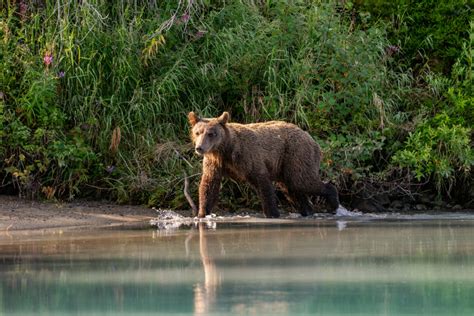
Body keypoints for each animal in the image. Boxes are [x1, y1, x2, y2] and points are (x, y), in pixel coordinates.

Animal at [187, 111, 338, 217]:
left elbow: (262, 182)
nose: (199, 148)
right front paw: (202, 213)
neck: (224, 150)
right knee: (293, 188)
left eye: (211, 133)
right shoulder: (214, 163)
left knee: (302, 181)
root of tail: (312, 139)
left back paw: (333, 201)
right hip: (286, 165)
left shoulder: (247, 155)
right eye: (197, 132)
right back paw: (307, 210)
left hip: (296, 153)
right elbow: (209, 185)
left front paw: (272, 213)